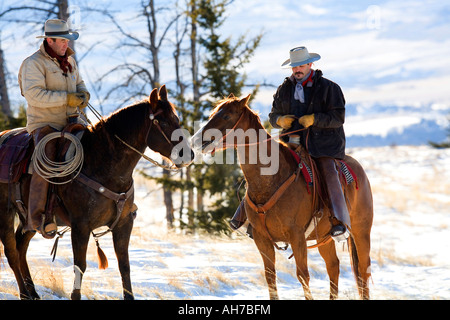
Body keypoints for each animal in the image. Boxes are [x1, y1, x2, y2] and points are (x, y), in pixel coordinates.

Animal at [0, 85, 193, 300]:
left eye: (177, 120)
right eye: (163, 122)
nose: (189, 155)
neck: (102, 164)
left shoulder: (124, 224)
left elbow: (124, 266)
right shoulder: (80, 226)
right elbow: (80, 267)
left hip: (28, 219)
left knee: (21, 247)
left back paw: (32, 292)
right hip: (5, 213)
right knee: (11, 251)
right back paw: (24, 293)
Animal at [192, 95, 374, 300]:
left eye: (226, 116)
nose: (196, 140)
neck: (269, 181)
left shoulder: (297, 237)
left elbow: (303, 275)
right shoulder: (261, 238)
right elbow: (270, 277)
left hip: (361, 231)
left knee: (363, 270)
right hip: (324, 237)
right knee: (333, 266)